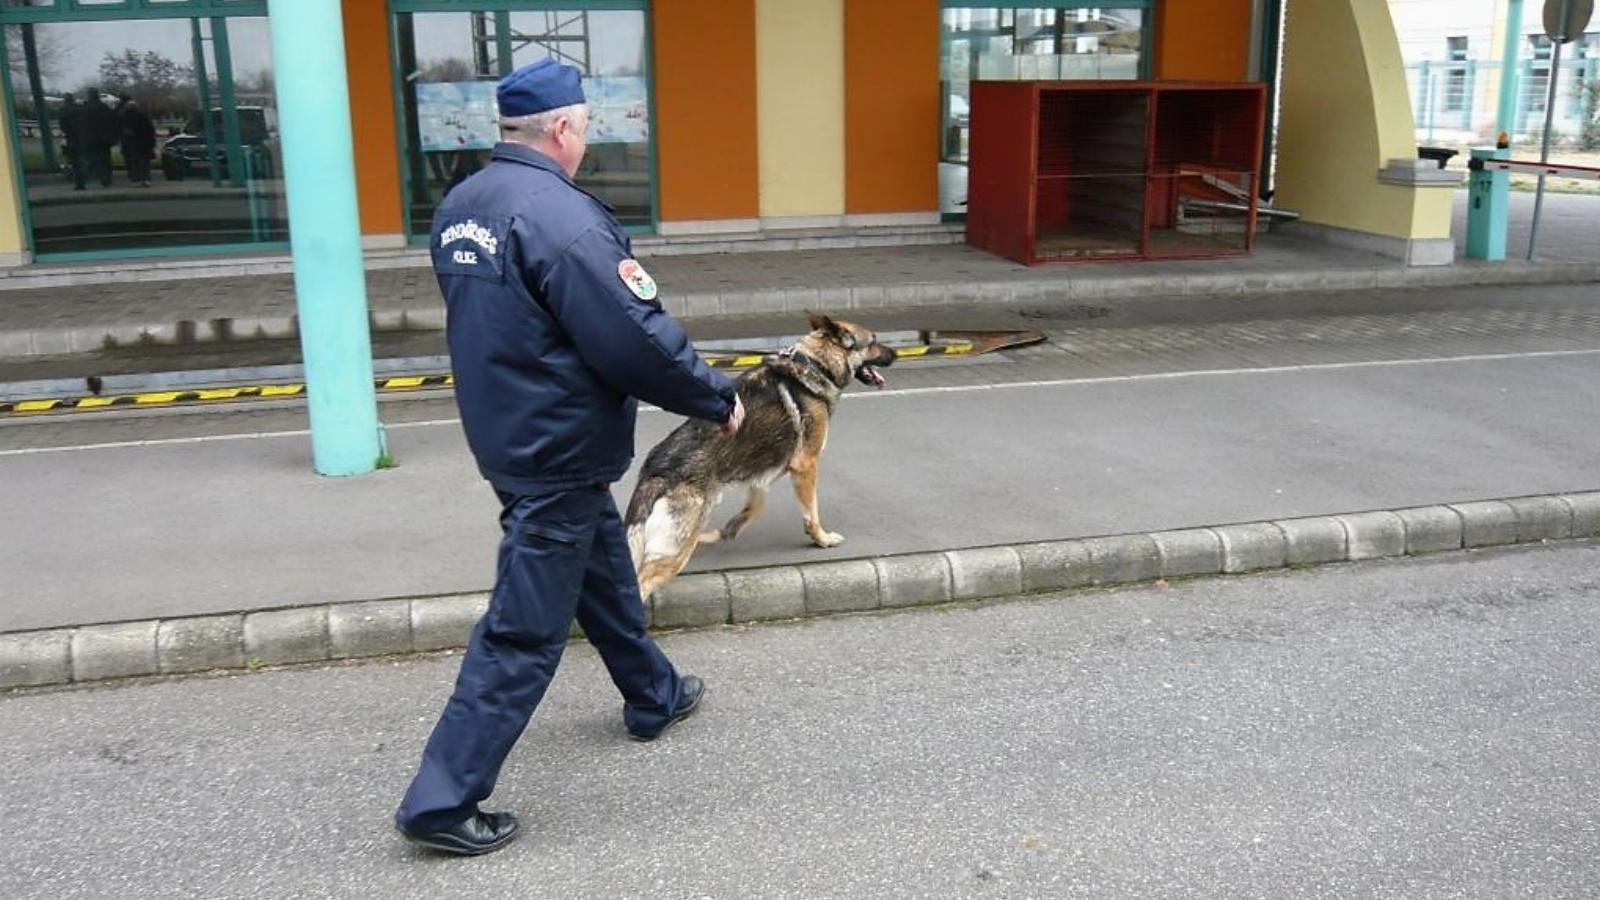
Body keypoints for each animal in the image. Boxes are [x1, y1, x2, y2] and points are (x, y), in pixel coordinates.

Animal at [624, 312, 902, 598]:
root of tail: (655, 474)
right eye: (873, 341)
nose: (897, 354)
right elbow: (812, 513)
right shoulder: (806, 465)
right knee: (642, 582)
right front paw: (821, 539)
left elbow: (753, 509)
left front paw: (724, 532)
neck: (815, 364)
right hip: (674, 555)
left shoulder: (760, 475)